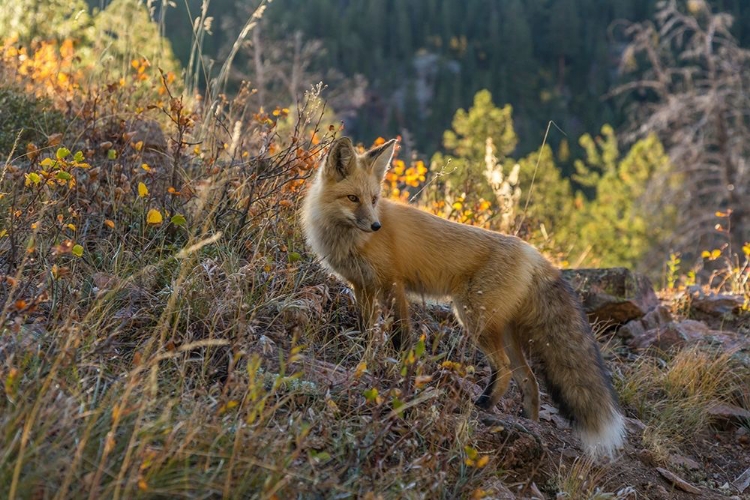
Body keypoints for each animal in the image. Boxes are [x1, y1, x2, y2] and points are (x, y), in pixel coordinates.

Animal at [302, 137, 624, 458]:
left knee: (505, 369)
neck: (349, 239)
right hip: (503, 331)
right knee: (529, 381)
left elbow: (399, 337)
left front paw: (397, 370)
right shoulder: (363, 287)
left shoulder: (393, 284)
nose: (376, 226)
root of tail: (534, 253)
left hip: (472, 316)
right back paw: (529, 425)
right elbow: (370, 333)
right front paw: (366, 360)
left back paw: (484, 405)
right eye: (353, 198)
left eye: (373, 199)